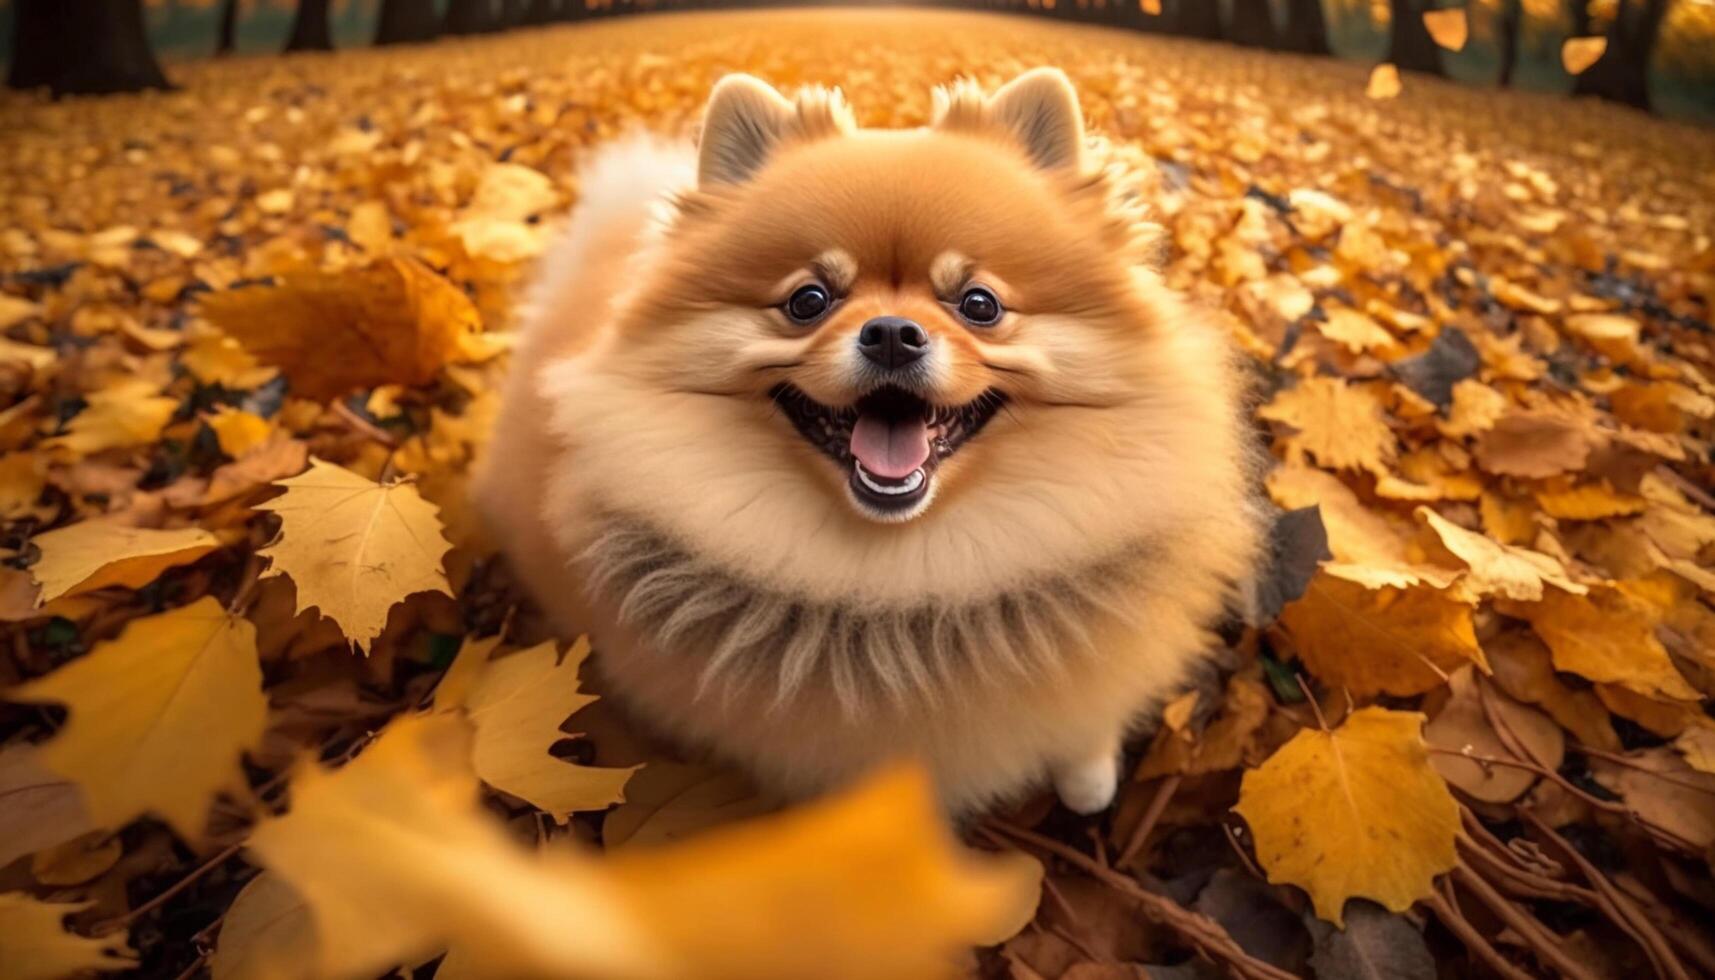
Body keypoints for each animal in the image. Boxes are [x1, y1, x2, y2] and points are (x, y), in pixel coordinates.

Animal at [476, 65, 1269, 810]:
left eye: (979, 304)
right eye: (808, 301)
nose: (891, 332)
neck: (904, 569)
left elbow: (1086, 724)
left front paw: (1088, 777)